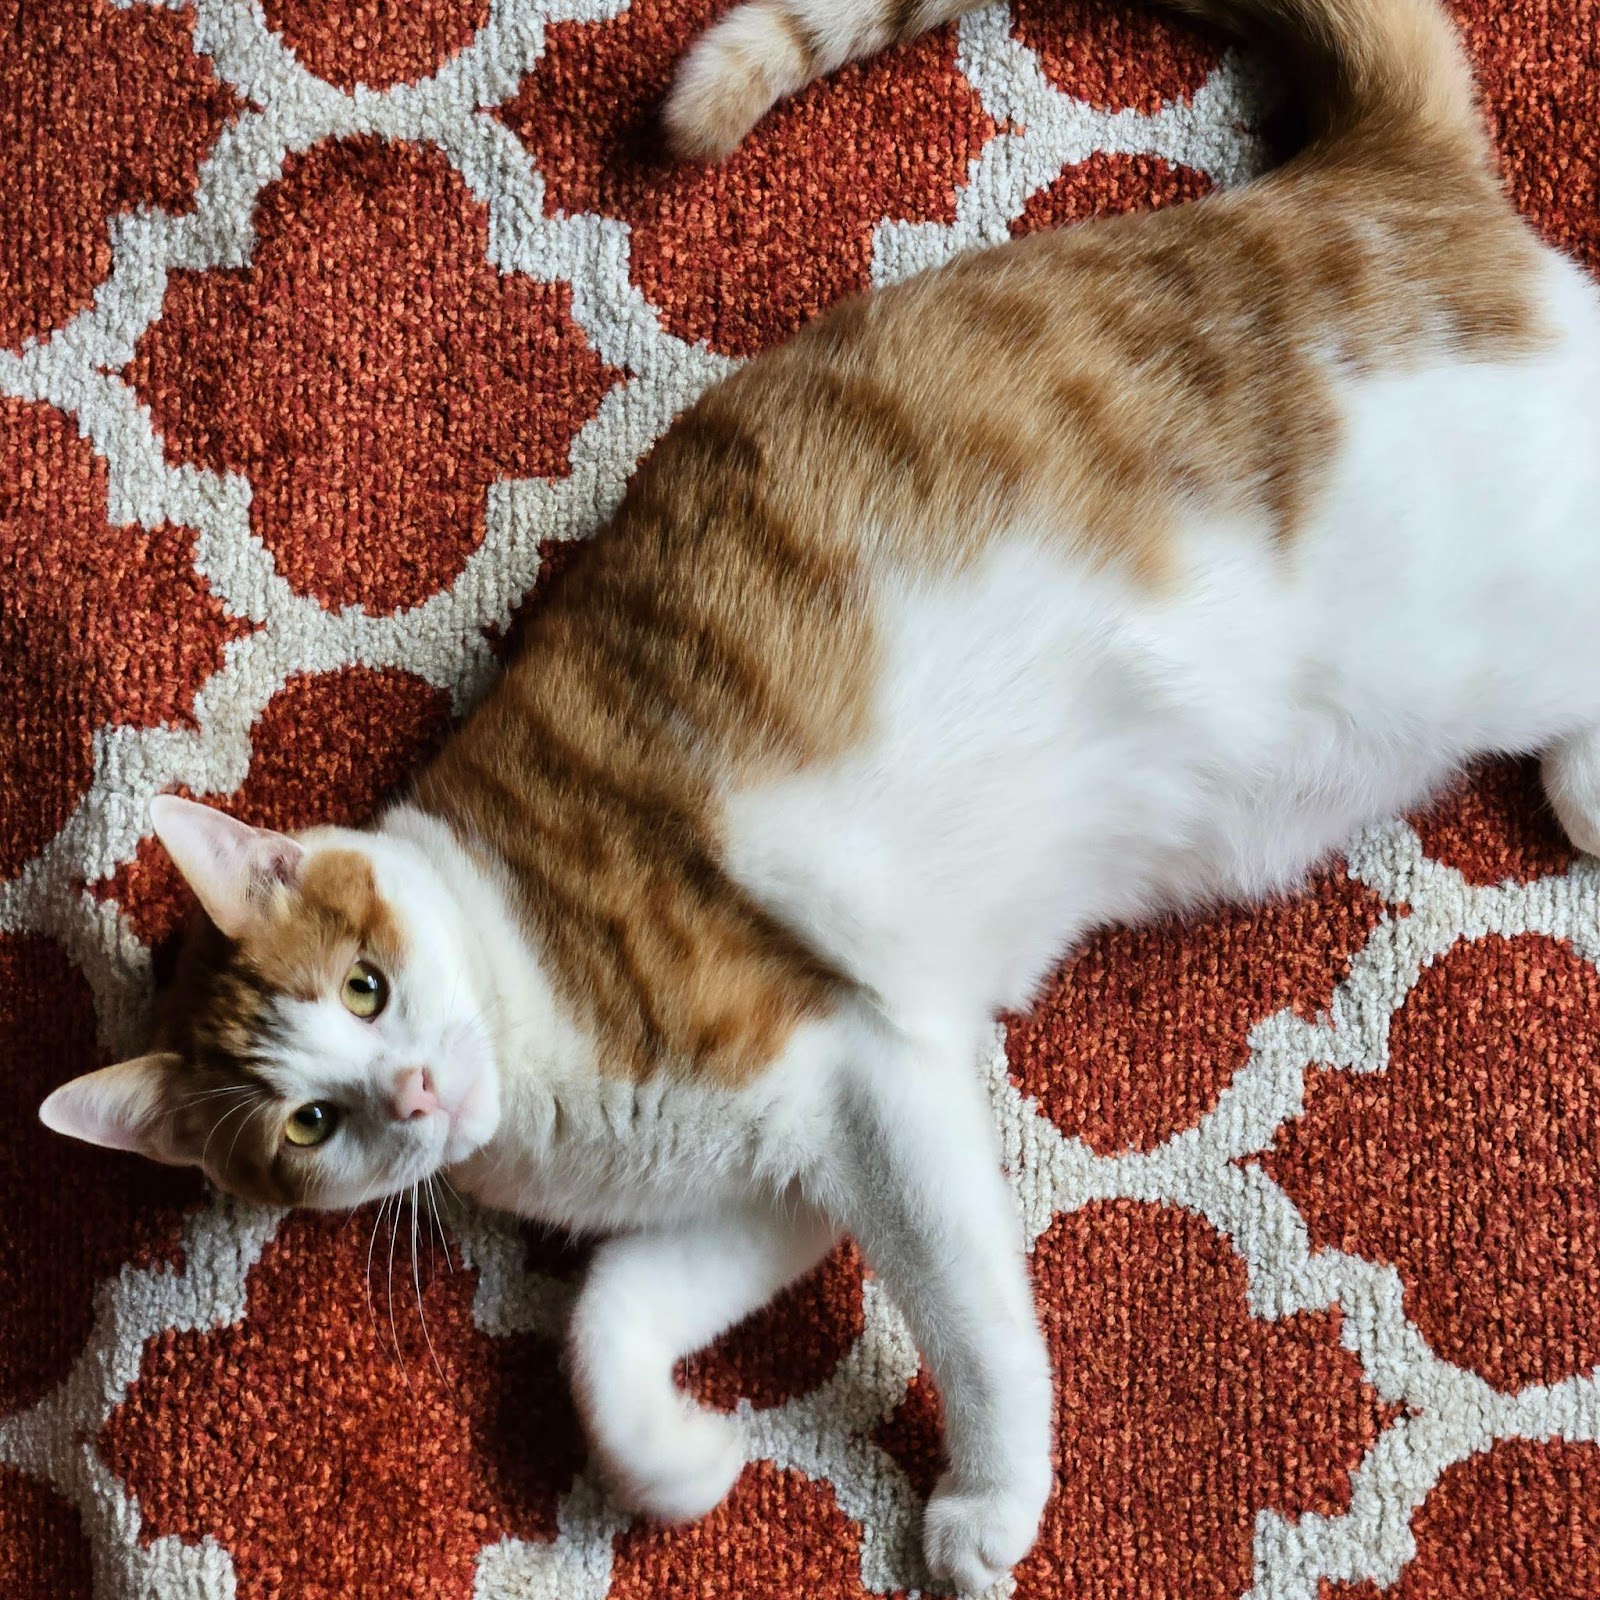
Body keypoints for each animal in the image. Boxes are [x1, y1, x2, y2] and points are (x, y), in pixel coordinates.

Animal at [37, 0, 1600, 1580]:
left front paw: (987, 1505)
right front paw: (671, 1466)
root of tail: (1372, 172)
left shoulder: (872, 1081)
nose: (411, 1090)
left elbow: (973, 1323)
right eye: (309, 1124)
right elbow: (604, 1322)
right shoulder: (777, 1176)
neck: (530, 1069)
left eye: (364, 985)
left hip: (1478, 623)